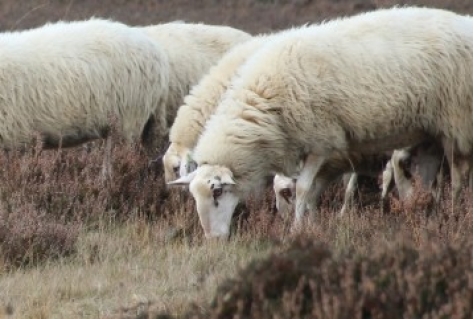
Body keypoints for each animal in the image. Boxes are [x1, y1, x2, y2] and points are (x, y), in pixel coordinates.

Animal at [168, 6, 472, 239]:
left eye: (218, 192)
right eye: (194, 197)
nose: (213, 239)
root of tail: (464, 21)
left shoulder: (321, 141)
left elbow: (304, 188)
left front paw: (296, 229)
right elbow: (310, 190)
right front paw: (310, 224)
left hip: (457, 122)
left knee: (458, 174)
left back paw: (453, 213)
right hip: (429, 132)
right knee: (426, 175)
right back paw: (424, 212)